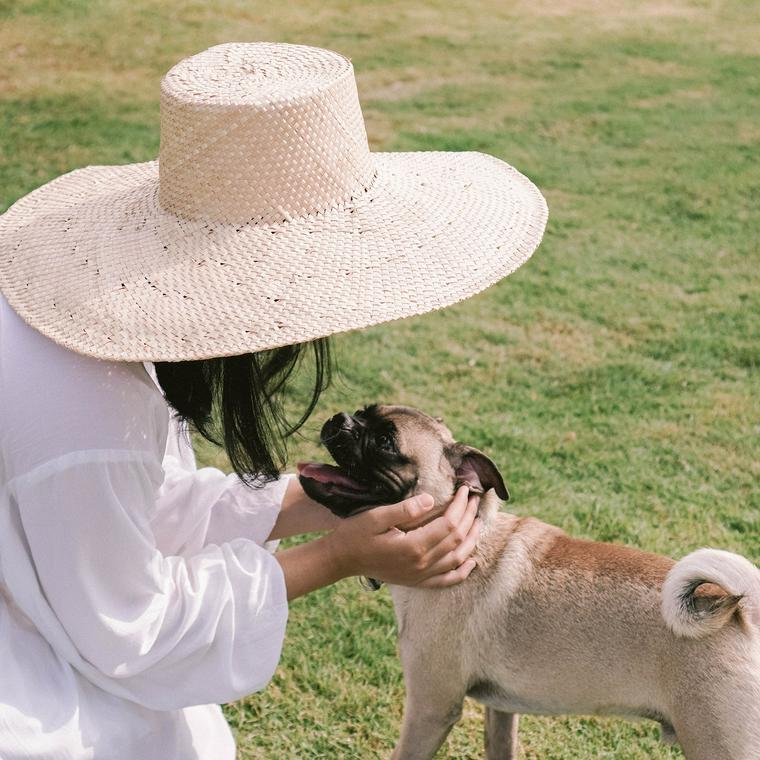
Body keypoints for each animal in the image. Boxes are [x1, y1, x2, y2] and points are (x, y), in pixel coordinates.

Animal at [296, 406, 760, 756]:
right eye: (362, 413)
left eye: (385, 443)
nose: (340, 418)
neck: (471, 541)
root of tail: (741, 613)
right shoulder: (501, 712)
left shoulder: (430, 708)